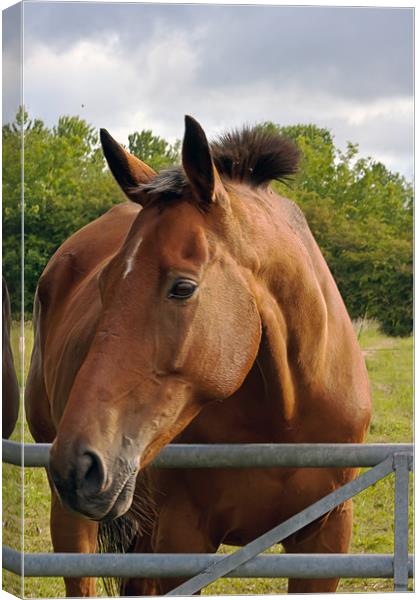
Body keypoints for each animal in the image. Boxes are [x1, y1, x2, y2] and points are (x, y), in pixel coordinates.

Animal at [25, 116, 370, 596]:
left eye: (182, 287)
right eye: (105, 284)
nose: (79, 463)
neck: (285, 417)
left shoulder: (326, 538)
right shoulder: (182, 539)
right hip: (76, 520)